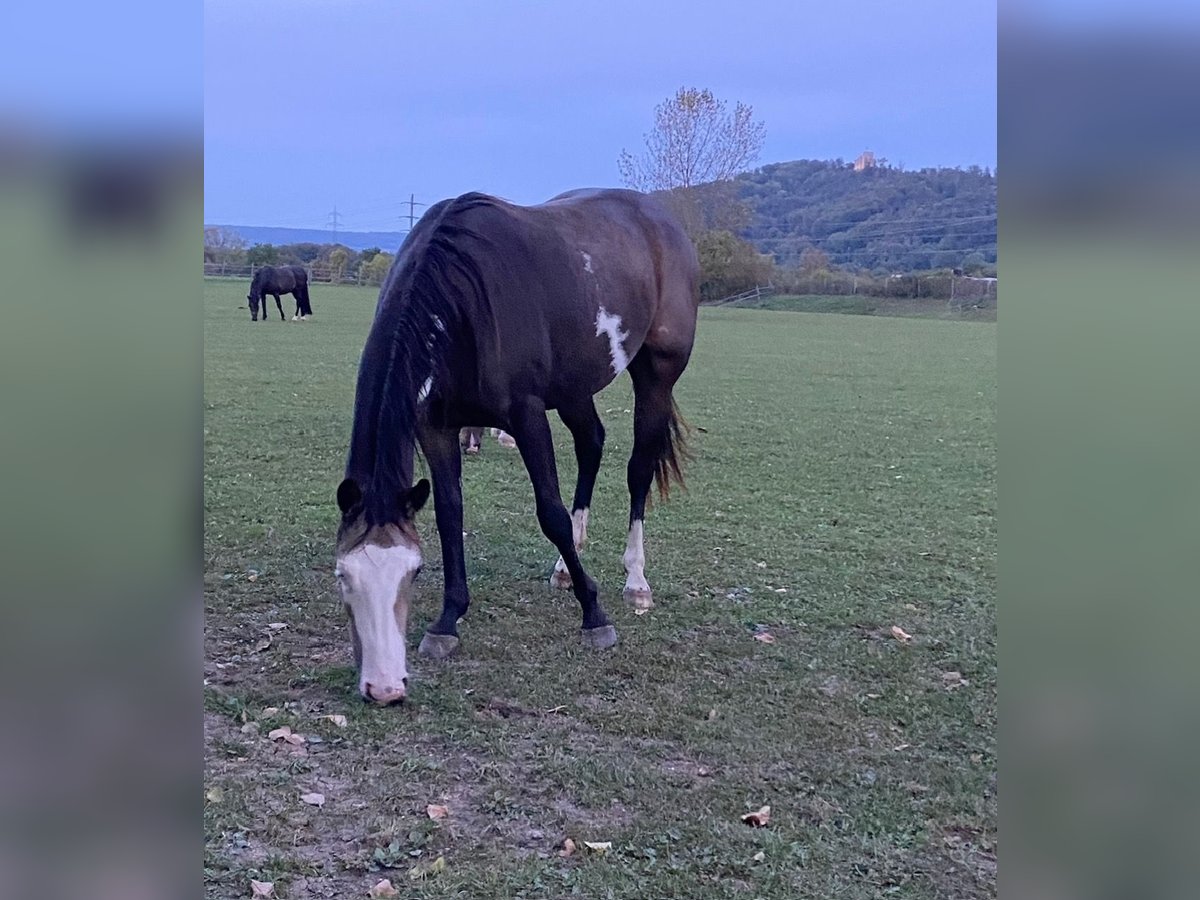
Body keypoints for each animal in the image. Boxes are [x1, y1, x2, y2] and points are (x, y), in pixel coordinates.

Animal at [333, 190, 700, 710]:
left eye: (414, 572)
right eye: (344, 575)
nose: (384, 688)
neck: (459, 293)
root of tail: (661, 220)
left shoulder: (527, 417)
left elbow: (551, 513)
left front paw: (594, 615)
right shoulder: (435, 425)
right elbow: (450, 513)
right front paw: (448, 620)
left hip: (657, 373)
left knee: (638, 470)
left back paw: (636, 581)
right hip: (573, 388)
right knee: (592, 445)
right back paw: (567, 569)